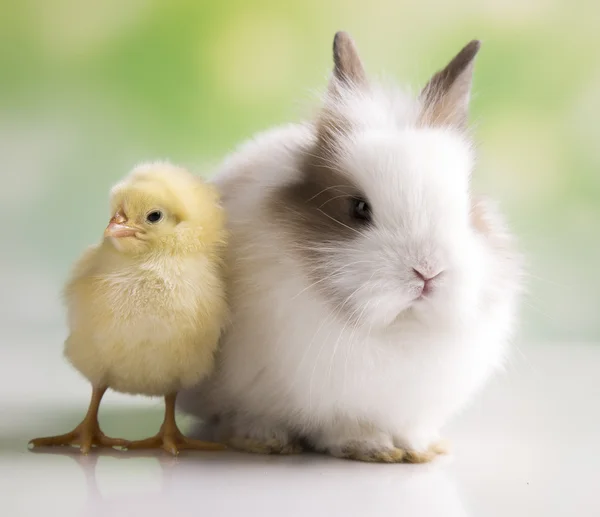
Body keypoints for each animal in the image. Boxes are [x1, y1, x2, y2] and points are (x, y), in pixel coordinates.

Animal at [180, 30, 524, 462]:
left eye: (465, 209)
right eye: (359, 209)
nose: (428, 272)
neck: (397, 329)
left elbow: (411, 428)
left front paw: (421, 449)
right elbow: (345, 427)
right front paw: (371, 448)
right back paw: (267, 440)